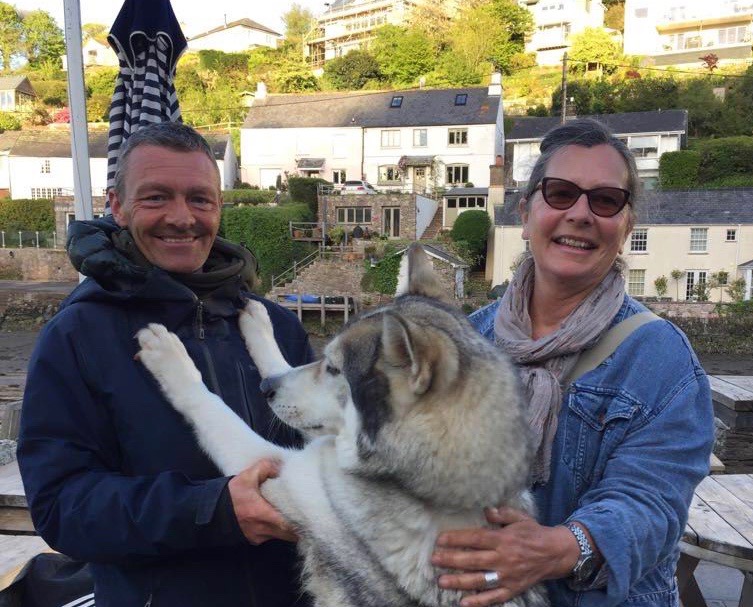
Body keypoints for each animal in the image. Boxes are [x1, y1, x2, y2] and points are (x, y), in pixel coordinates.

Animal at [136, 244, 548, 607]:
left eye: (334, 369)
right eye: (325, 360)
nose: (265, 389)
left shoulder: (279, 472)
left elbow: (212, 407)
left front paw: (169, 357)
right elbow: (281, 364)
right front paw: (258, 322)